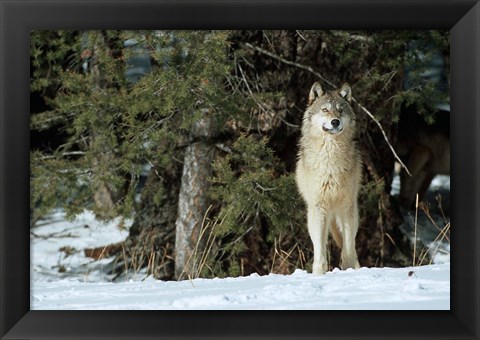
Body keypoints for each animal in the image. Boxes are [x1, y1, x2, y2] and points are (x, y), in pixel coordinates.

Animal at [294, 83, 362, 276]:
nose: (335, 121)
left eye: (340, 110)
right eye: (325, 110)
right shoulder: (318, 207)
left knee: (350, 244)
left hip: (350, 213)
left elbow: (348, 246)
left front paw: (348, 269)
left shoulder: (347, 206)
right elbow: (320, 250)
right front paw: (319, 273)